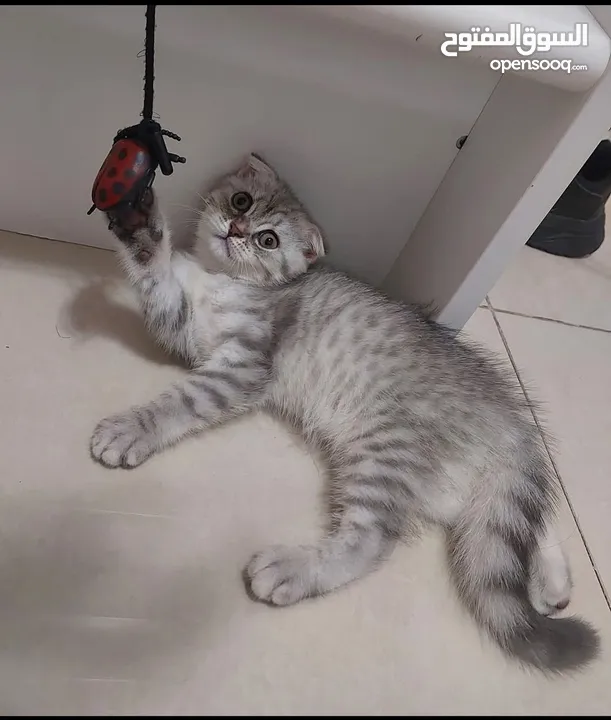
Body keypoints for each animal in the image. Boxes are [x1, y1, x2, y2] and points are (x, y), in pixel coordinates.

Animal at [93, 153, 600, 676]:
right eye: (241, 201)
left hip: (384, 450)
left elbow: (183, 401)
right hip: (456, 493)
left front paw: (131, 429)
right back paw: (553, 583)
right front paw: (139, 223)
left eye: (268, 240)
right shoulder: (186, 329)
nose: (237, 228)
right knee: (523, 524)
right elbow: (154, 276)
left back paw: (293, 569)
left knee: (371, 541)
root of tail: (510, 420)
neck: (221, 278)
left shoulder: (242, 366)